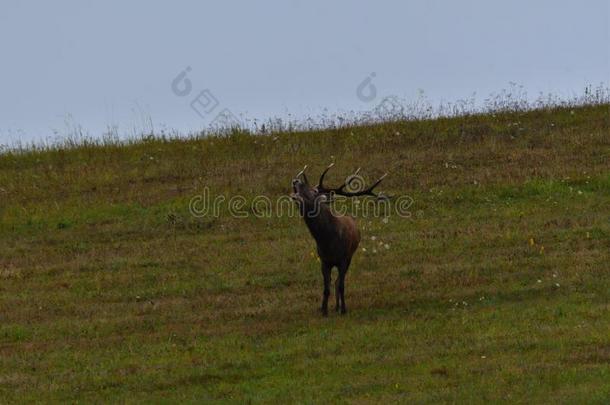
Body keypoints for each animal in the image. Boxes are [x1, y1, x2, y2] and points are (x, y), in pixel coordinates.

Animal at [290, 163, 384, 314]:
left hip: (350, 257)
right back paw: (335, 306)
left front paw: (344, 309)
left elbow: (341, 286)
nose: (296, 180)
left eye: (314, 191)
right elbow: (326, 288)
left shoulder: (343, 259)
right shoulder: (324, 261)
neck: (327, 240)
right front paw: (324, 310)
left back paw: (339, 307)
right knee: (334, 282)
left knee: (339, 281)